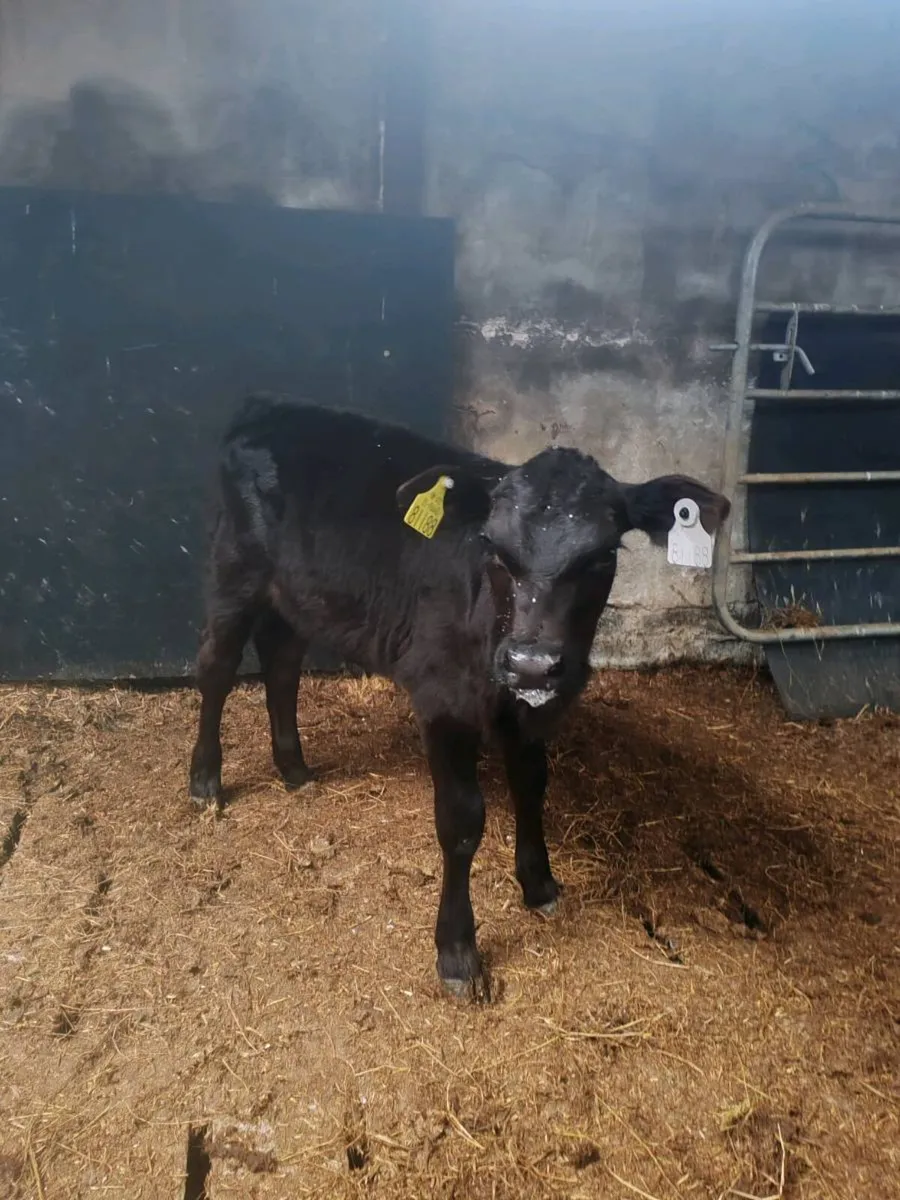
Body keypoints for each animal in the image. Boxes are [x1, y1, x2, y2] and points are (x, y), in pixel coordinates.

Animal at [189, 395, 730, 1000]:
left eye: (602, 556)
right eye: (493, 547)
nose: (532, 662)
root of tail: (266, 406)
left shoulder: (532, 712)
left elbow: (532, 788)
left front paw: (540, 885)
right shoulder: (442, 700)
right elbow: (462, 822)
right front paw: (457, 952)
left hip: (300, 595)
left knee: (282, 664)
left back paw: (294, 767)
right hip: (234, 570)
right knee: (217, 666)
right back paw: (206, 781)